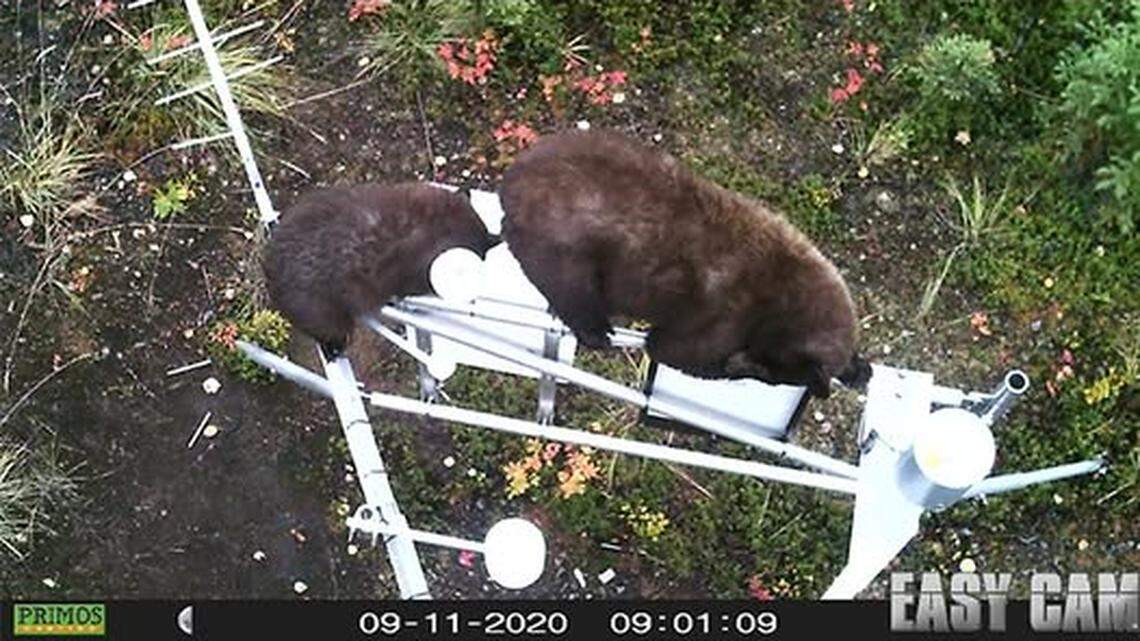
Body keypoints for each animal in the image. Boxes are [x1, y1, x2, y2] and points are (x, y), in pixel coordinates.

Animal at [499, 130, 870, 397]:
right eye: (773, 372)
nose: (741, 364)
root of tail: (510, 184)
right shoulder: (723, 318)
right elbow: (676, 351)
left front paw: (859, 369)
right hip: (566, 254)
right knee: (574, 295)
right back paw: (598, 331)